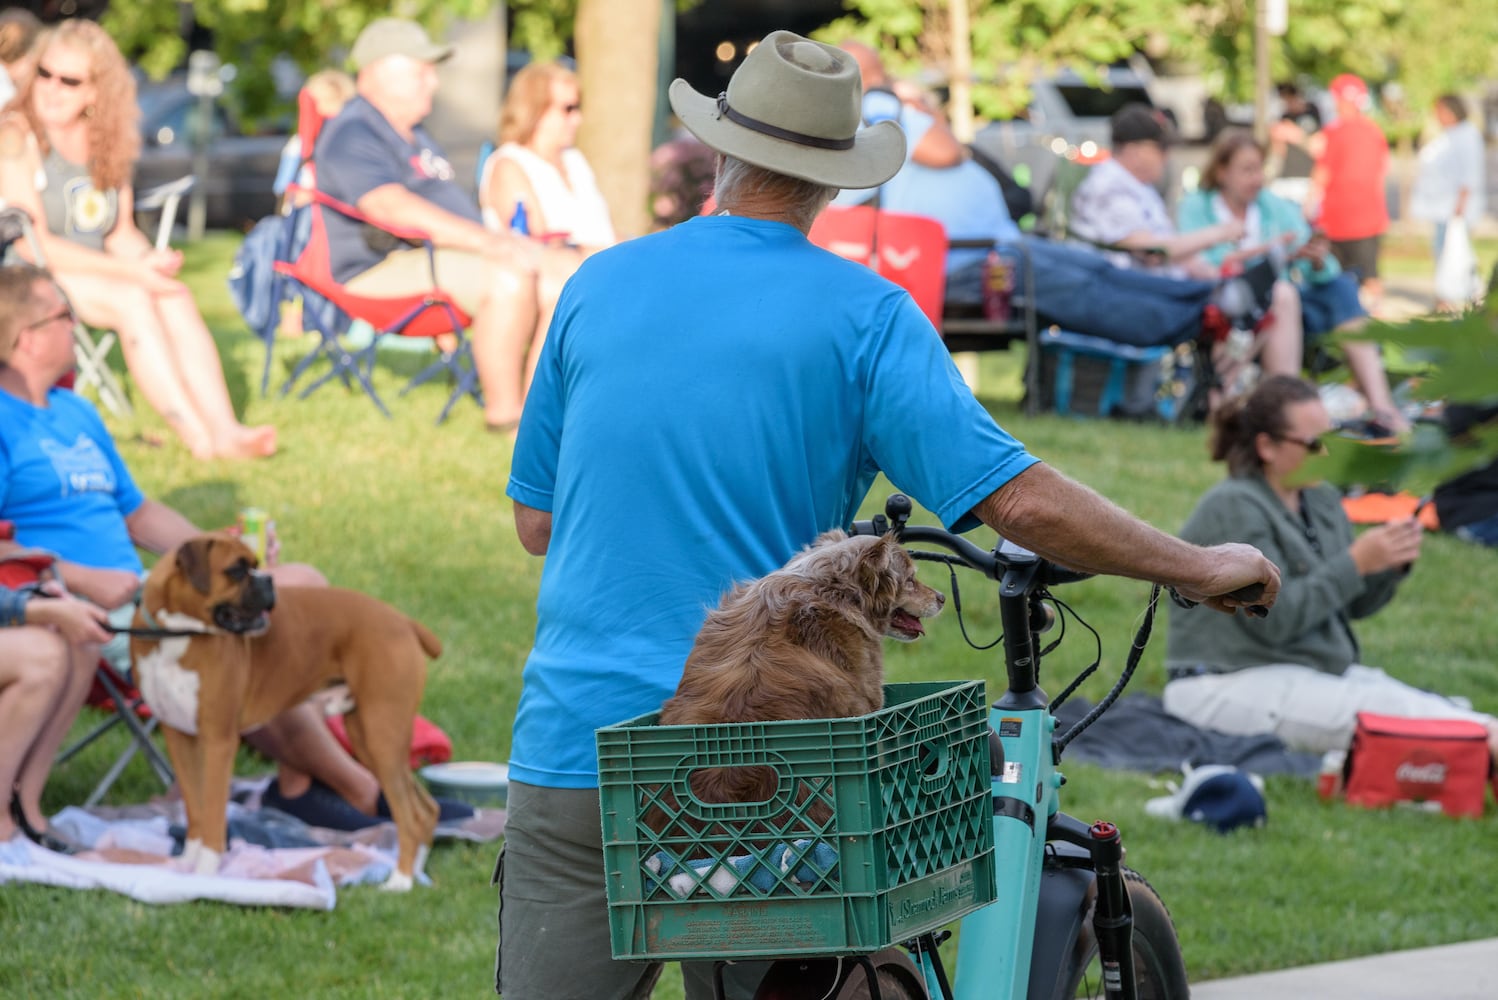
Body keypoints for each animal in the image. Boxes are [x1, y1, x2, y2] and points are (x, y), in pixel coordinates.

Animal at [128, 529, 440, 892]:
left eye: (255, 564)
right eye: (237, 570)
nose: (269, 580)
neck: (175, 633)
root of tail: (403, 620)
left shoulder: (218, 741)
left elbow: (214, 811)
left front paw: (205, 873)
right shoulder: (178, 737)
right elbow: (195, 805)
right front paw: (186, 863)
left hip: (383, 735)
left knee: (409, 813)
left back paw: (400, 881)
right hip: (369, 738)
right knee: (426, 809)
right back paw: (415, 872)